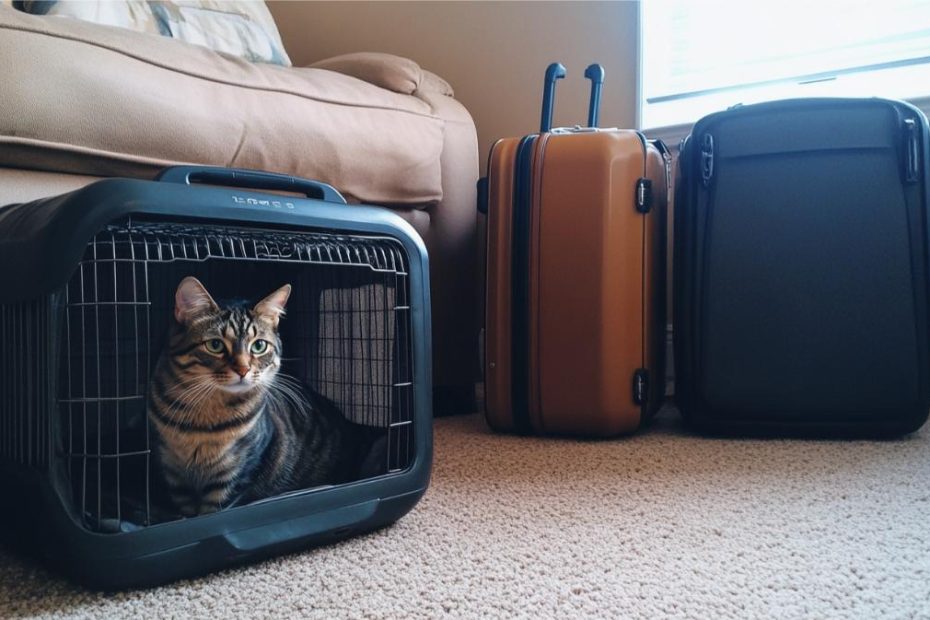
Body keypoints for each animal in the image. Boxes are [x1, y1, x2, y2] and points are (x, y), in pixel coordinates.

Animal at [146, 278, 380, 520]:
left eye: (259, 346)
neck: (202, 419)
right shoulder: (173, 471)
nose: (243, 369)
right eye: (215, 345)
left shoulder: (233, 476)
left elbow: (212, 512)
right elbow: (188, 512)